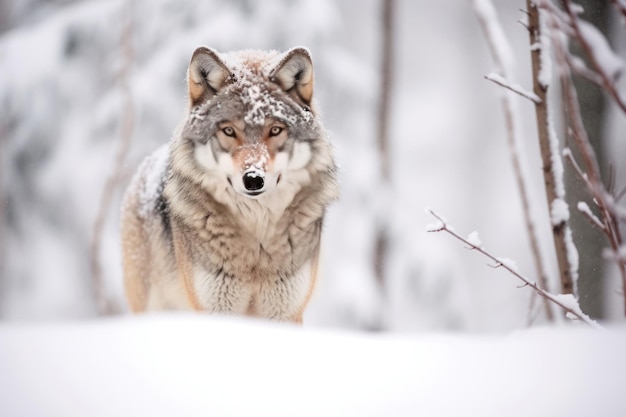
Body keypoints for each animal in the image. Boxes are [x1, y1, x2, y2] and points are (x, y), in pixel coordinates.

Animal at [120, 47, 338, 324]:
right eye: (229, 131)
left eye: (275, 130)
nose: (253, 179)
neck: (256, 238)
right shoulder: (216, 309)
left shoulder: (285, 313)